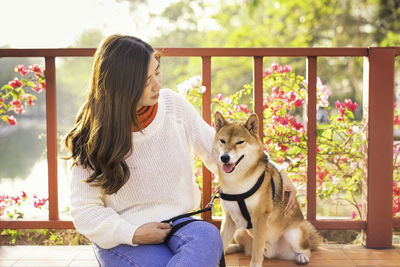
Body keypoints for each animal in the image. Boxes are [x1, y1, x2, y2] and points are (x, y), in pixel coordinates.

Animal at [214, 112, 320, 266]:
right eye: (222, 141)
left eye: (240, 142)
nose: (224, 157)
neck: (237, 182)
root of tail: (273, 252)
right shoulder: (228, 218)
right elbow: (220, 243)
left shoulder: (260, 218)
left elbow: (256, 254)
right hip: (239, 230)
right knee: (242, 247)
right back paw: (230, 249)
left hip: (294, 234)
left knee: (307, 249)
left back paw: (302, 257)